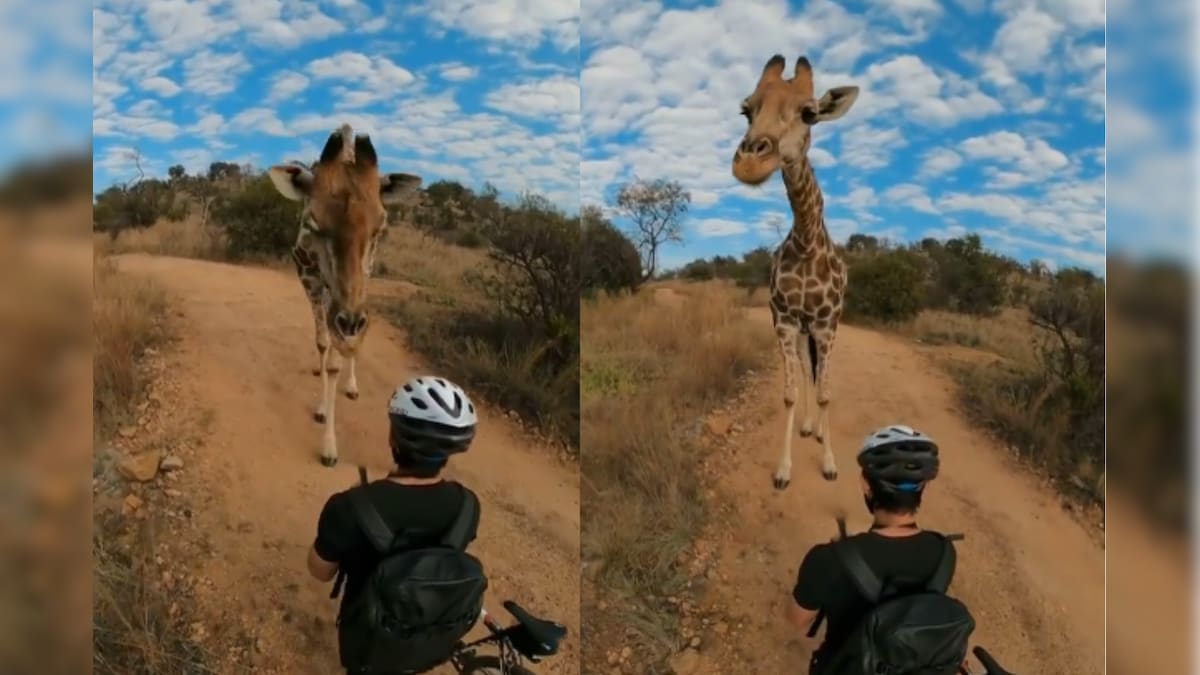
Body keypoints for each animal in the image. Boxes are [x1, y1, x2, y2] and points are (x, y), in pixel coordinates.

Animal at [267, 124, 422, 461]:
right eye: (312, 221)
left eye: (381, 227)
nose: (350, 322)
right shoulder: (310, 280)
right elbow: (324, 344)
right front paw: (324, 415)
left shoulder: (354, 290)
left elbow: (340, 356)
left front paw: (328, 443)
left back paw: (351, 384)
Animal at [724, 53, 859, 487]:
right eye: (746, 110)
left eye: (810, 113)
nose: (751, 163)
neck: (806, 242)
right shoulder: (783, 319)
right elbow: (790, 392)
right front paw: (783, 470)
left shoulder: (828, 323)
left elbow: (826, 392)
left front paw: (830, 463)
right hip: (801, 328)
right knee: (805, 368)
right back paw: (807, 426)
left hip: (819, 327)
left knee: (818, 375)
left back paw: (816, 431)